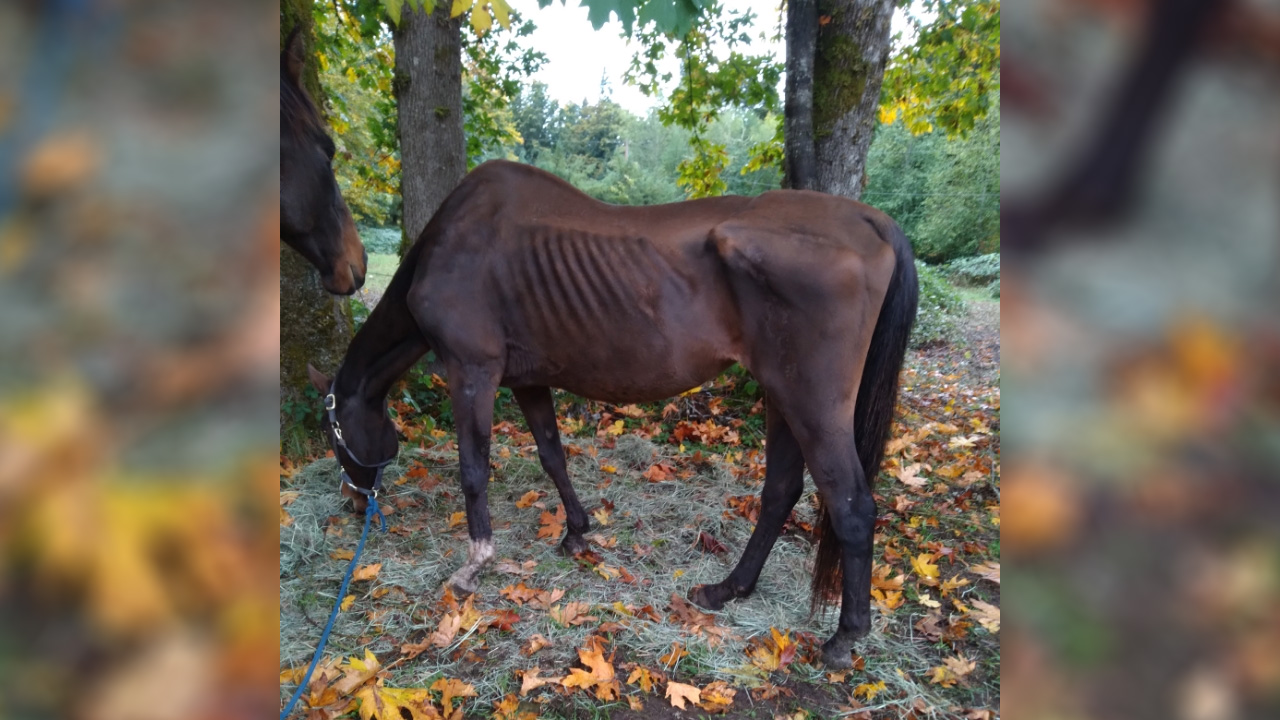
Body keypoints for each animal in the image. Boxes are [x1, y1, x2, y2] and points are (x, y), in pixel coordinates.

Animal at [306, 160, 918, 667]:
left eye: (333, 431)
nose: (355, 501)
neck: (453, 244)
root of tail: (870, 220)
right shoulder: (528, 381)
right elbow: (552, 454)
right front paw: (577, 532)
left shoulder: (472, 372)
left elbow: (474, 469)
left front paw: (473, 566)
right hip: (782, 398)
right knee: (780, 493)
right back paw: (725, 591)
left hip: (811, 403)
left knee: (852, 506)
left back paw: (843, 639)